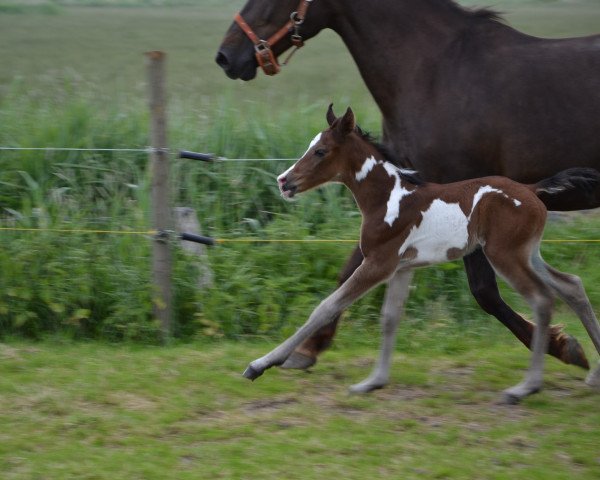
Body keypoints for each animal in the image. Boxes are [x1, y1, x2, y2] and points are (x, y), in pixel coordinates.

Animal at [218, 0, 600, 372]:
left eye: (321, 151)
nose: (226, 56)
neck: (432, 70)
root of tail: (534, 191)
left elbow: (483, 291)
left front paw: (561, 345)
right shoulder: (398, 229)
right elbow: (348, 281)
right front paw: (306, 350)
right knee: (570, 284)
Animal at [243, 106, 600, 404]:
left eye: (320, 151)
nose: (284, 181)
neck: (389, 199)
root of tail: (531, 189)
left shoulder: (379, 263)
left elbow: (327, 306)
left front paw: (261, 364)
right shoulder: (402, 268)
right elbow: (390, 317)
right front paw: (373, 381)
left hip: (506, 256)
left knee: (542, 300)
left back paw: (525, 388)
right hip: (528, 254)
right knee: (571, 285)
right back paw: (593, 373)